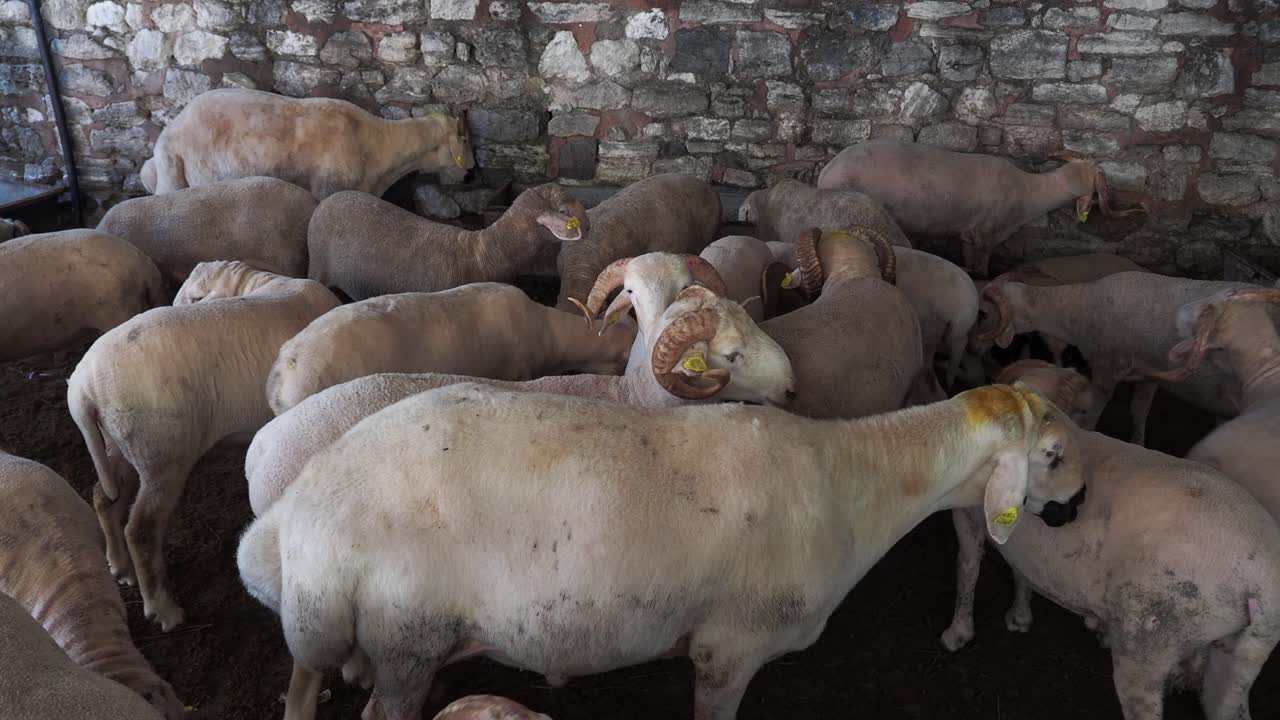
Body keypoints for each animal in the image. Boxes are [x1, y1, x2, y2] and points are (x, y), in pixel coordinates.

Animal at [67, 260, 339, 631]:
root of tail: (83, 389)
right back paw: (163, 609)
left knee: (104, 497)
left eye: (194, 297)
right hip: (163, 452)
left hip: (119, 443)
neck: (261, 284)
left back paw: (121, 568)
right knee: (141, 530)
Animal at [239, 380, 1084, 720]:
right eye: (1052, 457)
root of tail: (305, 507)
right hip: (406, 636)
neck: (854, 483)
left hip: (361, 637)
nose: (1076, 507)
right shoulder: (728, 648)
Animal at [940, 363, 1280, 720]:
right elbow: (1020, 572)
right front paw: (1020, 616)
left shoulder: (966, 515)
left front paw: (958, 633)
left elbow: (967, 569)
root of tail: (1261, 584)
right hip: (1243, 650)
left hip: (1148, 641)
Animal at [974, 271, 1255, 445]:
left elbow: (1092, 414)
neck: (1079, 308)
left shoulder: (1105, 370)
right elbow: (1139, 411)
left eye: (984, 313)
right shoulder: (1149, 373)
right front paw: (1139, 443)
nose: (973, 344)